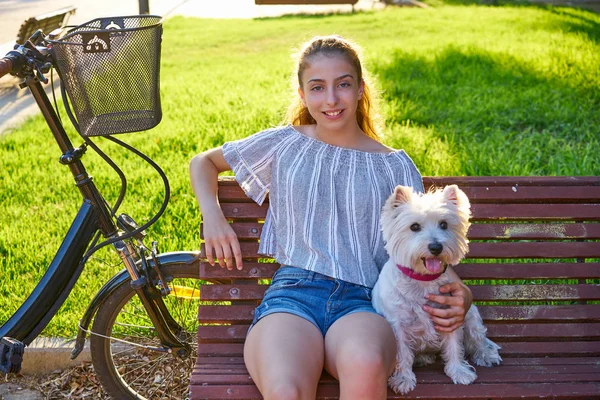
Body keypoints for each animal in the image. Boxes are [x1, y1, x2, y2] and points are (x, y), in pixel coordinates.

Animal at [370, 184, 502, 394]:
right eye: (414, 226)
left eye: (444, 224)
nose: (435, 247)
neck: (423, 281)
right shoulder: (397, 325)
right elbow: (402, 353)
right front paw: (403, 379)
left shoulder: (452, 313)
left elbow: (455, 346)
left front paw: (459, 371)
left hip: (470, 315)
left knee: (477, 338)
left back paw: (487, 355)